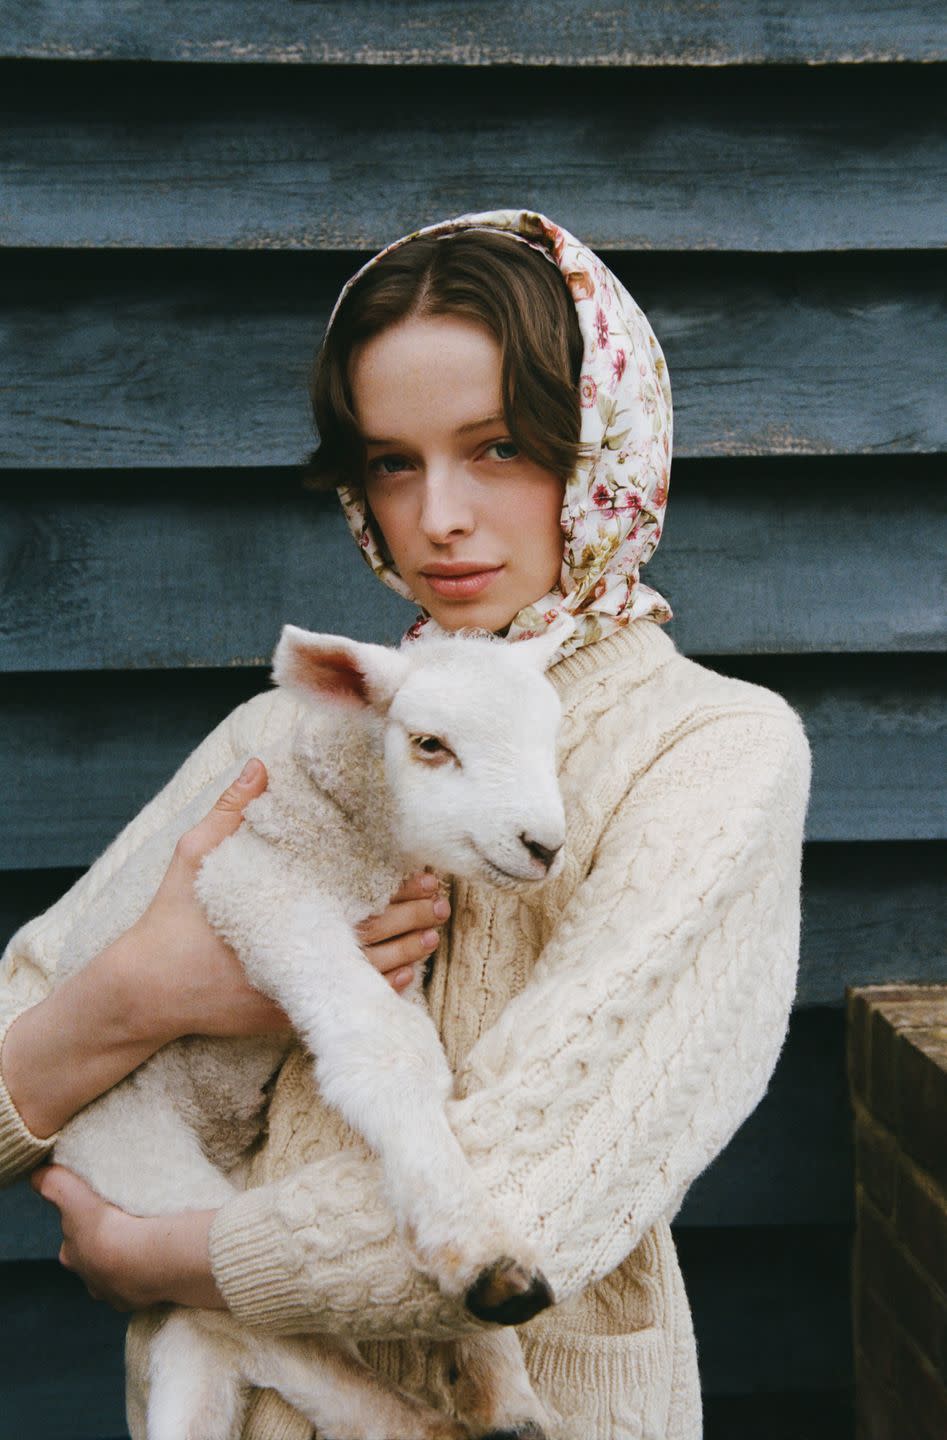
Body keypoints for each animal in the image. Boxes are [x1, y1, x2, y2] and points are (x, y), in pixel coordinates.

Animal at [51, 627, 567, 1440]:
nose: (544, 846)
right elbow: (383, 1052)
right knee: (248, 1323)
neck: (350, 837)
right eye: (429, 744)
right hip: (131, 1159)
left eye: (551, 737)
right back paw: (430, 1419)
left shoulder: (389, 962)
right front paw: (485, 1259)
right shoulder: (256, 894)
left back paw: (501, 1400)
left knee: (200, 1332)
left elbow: (418, 1060)